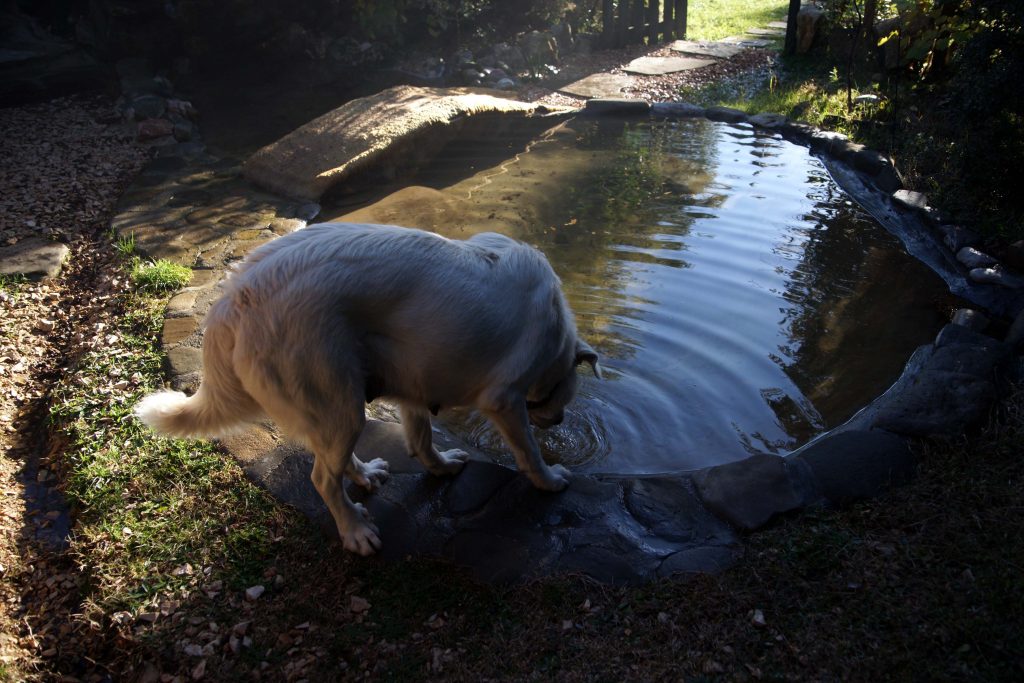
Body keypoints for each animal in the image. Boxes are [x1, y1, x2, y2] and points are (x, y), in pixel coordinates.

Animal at [136, 224, 598, 557]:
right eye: (558, 399)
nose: (558, 419)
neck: (556, 334)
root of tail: (234, 297)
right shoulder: (504, 400)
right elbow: (529, 452)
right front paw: (550, 480)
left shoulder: (414, 381)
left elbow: (421, 440)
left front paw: (442, 466)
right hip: (337, 400)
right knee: (322, 478)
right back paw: (355, 531)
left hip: (335, 403)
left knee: (331, 460)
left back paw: (364, 475)